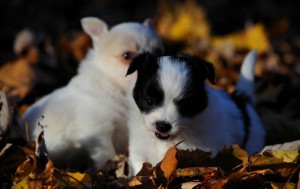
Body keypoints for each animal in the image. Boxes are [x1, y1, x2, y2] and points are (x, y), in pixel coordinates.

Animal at [125, 50, 266, 174]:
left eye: (185, 105)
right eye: (149, 101)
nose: (163, 126)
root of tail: (242, 98)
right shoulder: (139, 152)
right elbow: (140, 170)